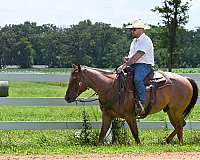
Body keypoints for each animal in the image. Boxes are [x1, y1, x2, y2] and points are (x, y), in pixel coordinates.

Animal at [65, 64, 198, 144]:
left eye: (75, 79)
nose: (67, 98)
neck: (111, 87)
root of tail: (186, 79)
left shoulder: (130, 116)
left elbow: (135, 135)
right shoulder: (107, 116)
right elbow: (101, 135)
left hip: (176, 111)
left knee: (180, 125)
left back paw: (177, 142)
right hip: (170, 110)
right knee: (179, 125)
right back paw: (168, 141)